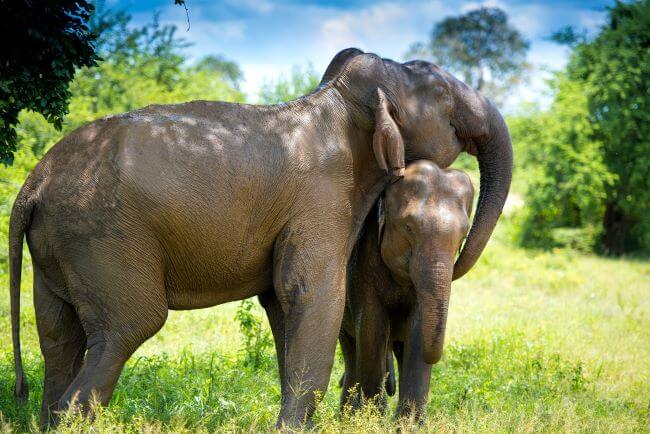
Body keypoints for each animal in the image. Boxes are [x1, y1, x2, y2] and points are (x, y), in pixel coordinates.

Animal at [340, 159, 470, 418]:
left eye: (463, 234)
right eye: (409, 227)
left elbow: (418, 331)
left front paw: (408, 423)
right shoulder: (362, 266)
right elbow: (371, 328)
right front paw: (373, 420)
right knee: (351, 349)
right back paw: (348, 417)